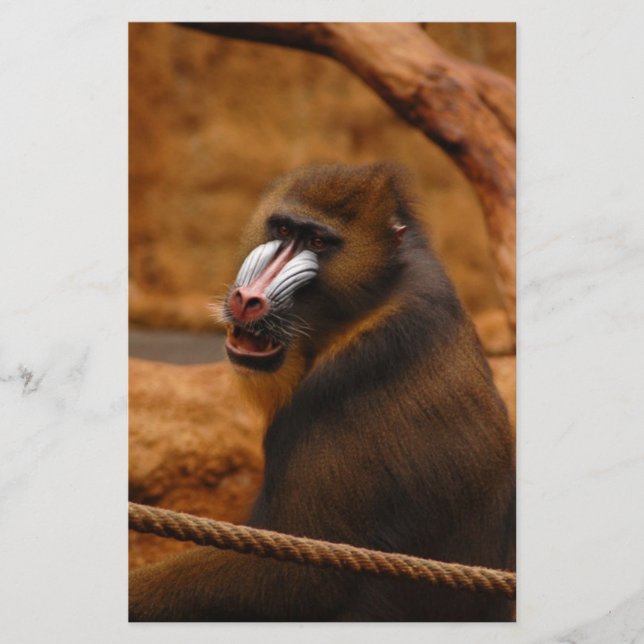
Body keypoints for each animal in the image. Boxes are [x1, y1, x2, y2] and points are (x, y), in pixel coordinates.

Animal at [129, 162, 515, 622]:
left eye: (317, 242)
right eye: (282, 229)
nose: (247, 299)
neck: (364, 304)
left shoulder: (344, 382)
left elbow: (298, 574)